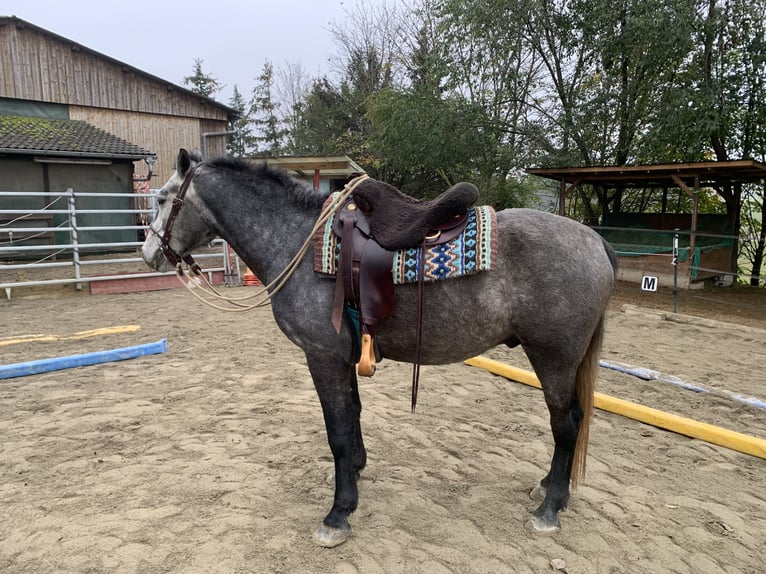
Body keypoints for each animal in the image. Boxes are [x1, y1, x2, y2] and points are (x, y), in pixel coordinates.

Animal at [141, 150, 620, 548]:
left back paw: (550, 508)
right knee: (572, 423)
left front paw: (338, 513)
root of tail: (595, 241)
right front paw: (356, 471)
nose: (148, 253)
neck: (297, 240)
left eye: (162, 199)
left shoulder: (322, 356)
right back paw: (550, 488)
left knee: (566, 424)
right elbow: (352, 416)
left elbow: (336, 431)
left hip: (553, 358)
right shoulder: (343, 357)